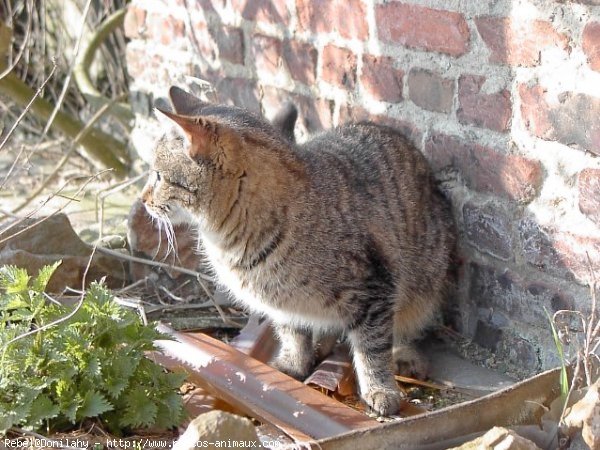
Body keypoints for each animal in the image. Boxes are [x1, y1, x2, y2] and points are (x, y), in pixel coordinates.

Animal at [143, 85, 458, 414]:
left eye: (159, 176)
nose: (143, 199)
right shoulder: (282, 304)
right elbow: (293, 334)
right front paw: (294, 364)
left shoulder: (375, 291)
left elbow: (372, 349)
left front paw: (380, 390)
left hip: (424, 282)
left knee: (406, 327)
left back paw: (404, 355)